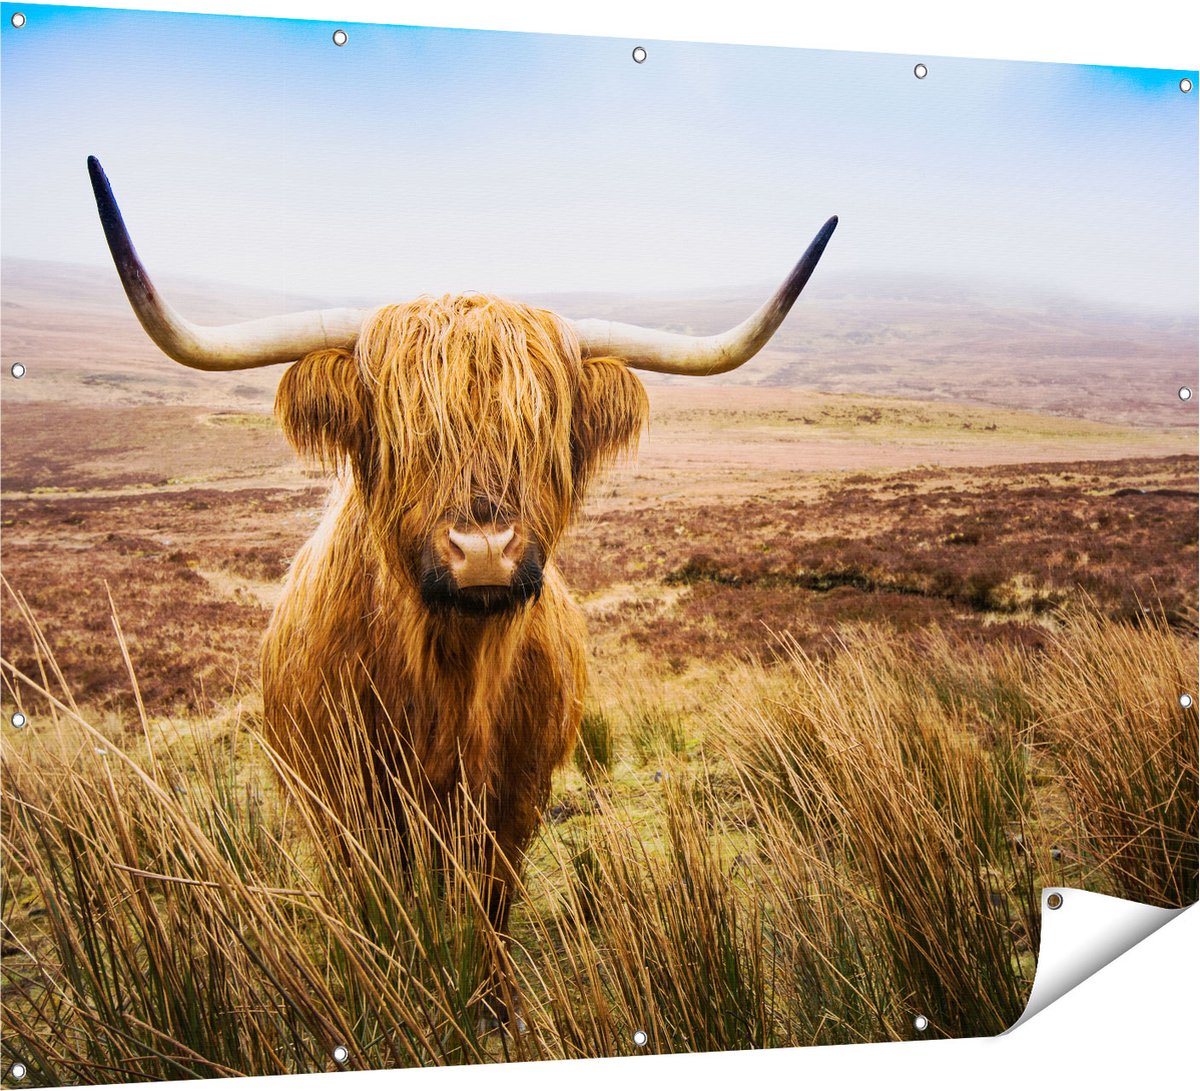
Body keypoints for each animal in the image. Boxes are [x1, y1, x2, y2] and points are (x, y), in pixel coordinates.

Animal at [87, 155, 836, 972]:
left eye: (542, 429)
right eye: (405, 431)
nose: (484, 550)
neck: (450, 679)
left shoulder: (513, 807)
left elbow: (488, 916)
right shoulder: (350, 811)